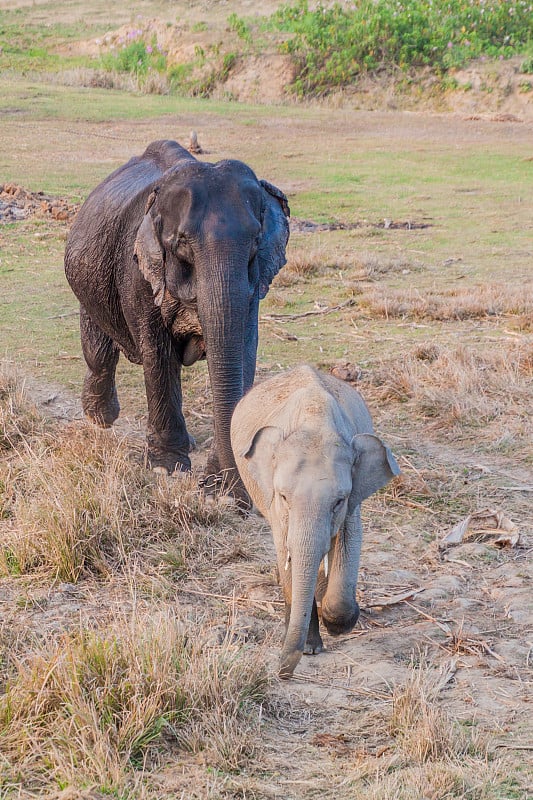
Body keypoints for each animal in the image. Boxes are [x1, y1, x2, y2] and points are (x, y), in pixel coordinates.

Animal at [66, 139, 290, 500]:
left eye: (256, 244)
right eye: (181, 245)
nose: (217, 487)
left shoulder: (253, 288)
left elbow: (243, 351)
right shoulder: (137, 272)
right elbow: (159, 354)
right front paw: (167, 468)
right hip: (89, 281)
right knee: (99, 350)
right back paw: (99, 418)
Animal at [230, 366, 400, 680]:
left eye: (338, 501)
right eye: (284, 496)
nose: (281, 673)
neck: (315, 421)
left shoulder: (353, 503)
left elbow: (349, 540)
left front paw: (337, 623)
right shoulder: (275, 507)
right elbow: (286, 552)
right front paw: (311, 647)